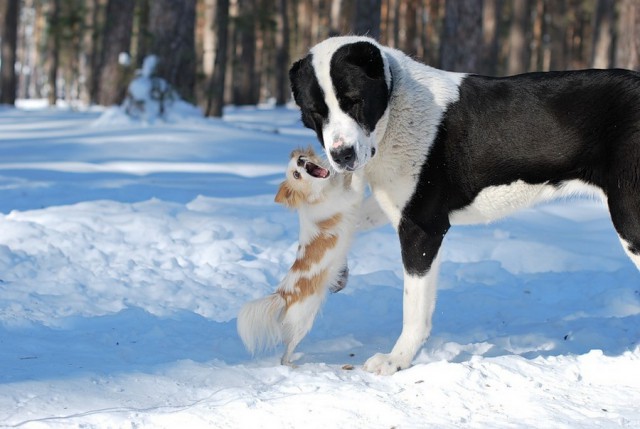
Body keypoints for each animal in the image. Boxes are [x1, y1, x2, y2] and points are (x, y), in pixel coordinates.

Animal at [238, 147, 362, 364]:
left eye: (301, 159)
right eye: (296, 174)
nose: (302, 161)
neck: (320, 192)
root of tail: (283, 295)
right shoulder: (349, 198)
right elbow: (357, 182)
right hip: (303, 322)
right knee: (287, 350)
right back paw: (290, 364)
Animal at [288, 35, 640, 372]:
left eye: (354, 101)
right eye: (317, 113)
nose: (342, 155)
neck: (395, 110)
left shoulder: (422, 227)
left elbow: (414, 307)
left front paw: (396, 360)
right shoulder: (400, 205)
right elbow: (345, 220)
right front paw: (334, 266)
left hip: (630, 221)